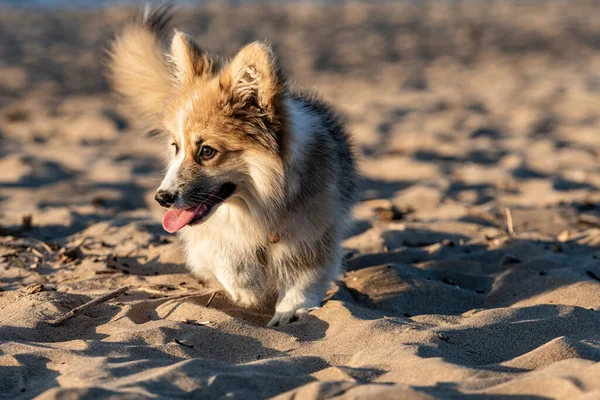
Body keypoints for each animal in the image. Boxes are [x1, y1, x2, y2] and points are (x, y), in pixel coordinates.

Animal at [108, 5, 356, 324]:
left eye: (207, 151)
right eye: (176, 147)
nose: (161, 198)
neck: (258, 203)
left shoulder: (312, 232)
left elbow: (304, 279)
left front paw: (289, 312)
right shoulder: (210, 234)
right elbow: (225, 254)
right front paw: (248, 289)